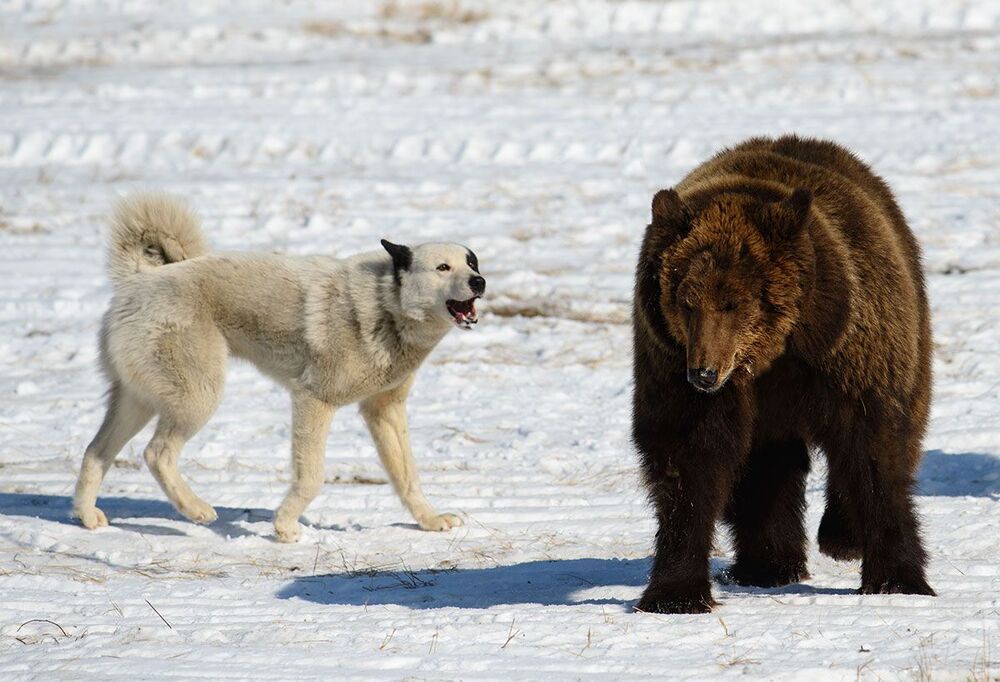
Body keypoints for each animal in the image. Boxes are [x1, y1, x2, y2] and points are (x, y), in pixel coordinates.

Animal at [631, 135, 934, 614]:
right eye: (685, 300)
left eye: (734, 302)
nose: (703, 373)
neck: (770, 357)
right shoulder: (671, 364)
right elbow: (689, 460)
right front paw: (675, 593)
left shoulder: (843, 354)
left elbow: (873, 451)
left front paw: (898, 579)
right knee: (769, 467)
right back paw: (768, 565)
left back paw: (839, 537)